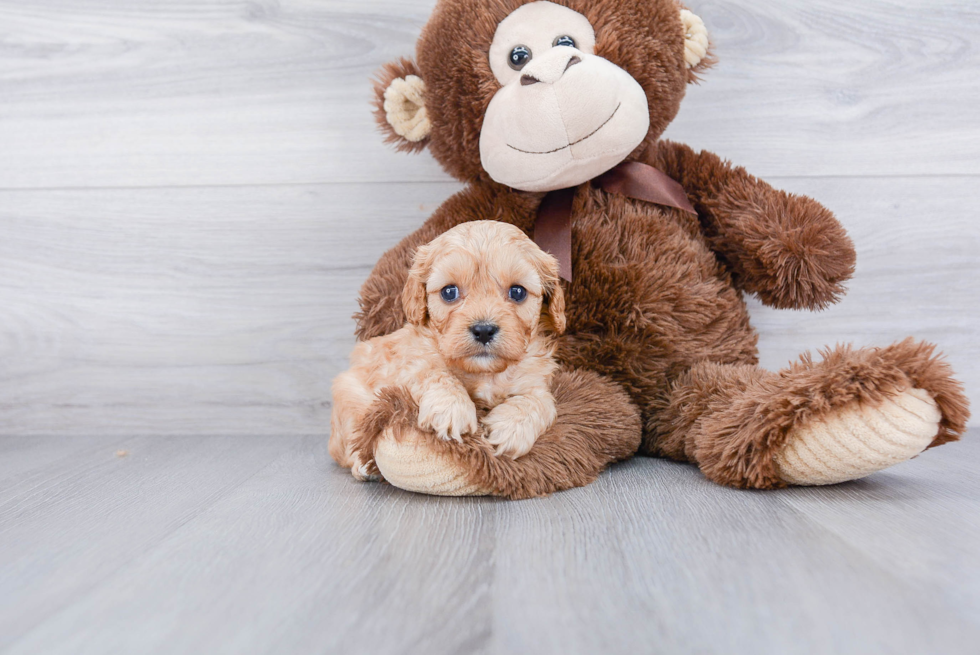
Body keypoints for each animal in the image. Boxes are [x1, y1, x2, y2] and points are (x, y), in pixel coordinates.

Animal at [328, 222, 564, 482]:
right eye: (449, 292)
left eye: (518, 292)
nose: (484, 330)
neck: (484, 373)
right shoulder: (410, 362)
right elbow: (436, 373)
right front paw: (452, 410)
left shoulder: (536, 380)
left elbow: (541, 401)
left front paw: (511, 427)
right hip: (348, 396)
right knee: (348, 443)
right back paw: (363, 465)